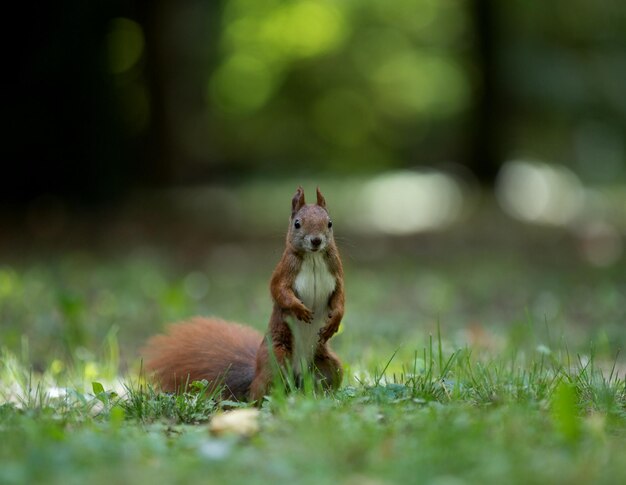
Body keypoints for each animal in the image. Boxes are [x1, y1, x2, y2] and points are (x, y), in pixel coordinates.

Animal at [142, 185, 344, 400]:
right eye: (297, 224)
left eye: (329, 223)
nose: (316, 241)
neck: (313, 258)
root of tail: (298, 375)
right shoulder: (283, 272)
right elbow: (279, 291)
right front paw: (300, 309)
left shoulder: (337, 273)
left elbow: (340, 298)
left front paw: (335, 321)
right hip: (275, 361)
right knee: (260, 393)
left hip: (330, 366)